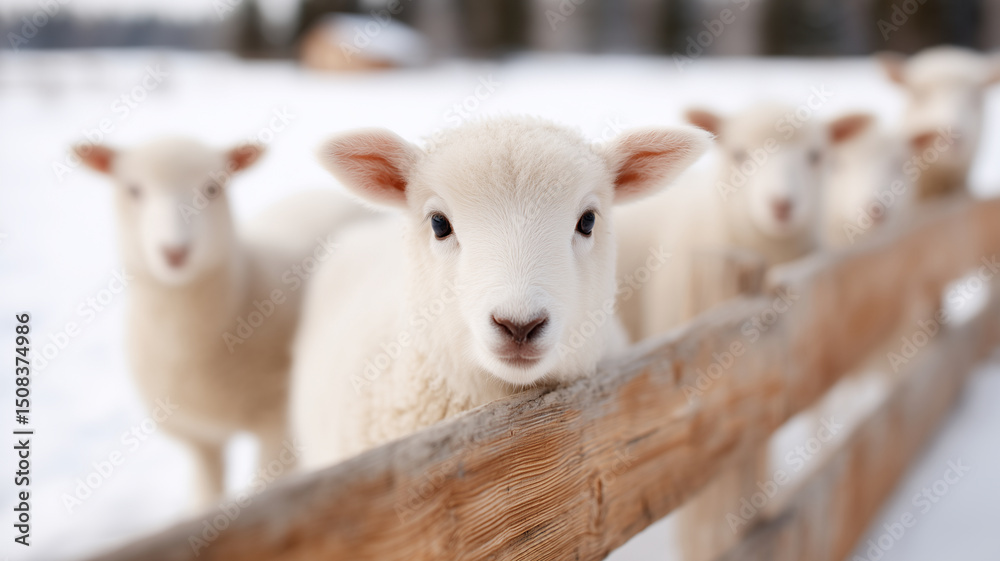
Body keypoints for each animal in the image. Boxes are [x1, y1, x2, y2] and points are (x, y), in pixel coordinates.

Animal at [74, 138, 367, 508]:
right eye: (133, 189)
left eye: (212, 188)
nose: (174, 252)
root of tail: (321, 192)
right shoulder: (198, 439)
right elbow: (206, 498)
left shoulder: (276, 425)